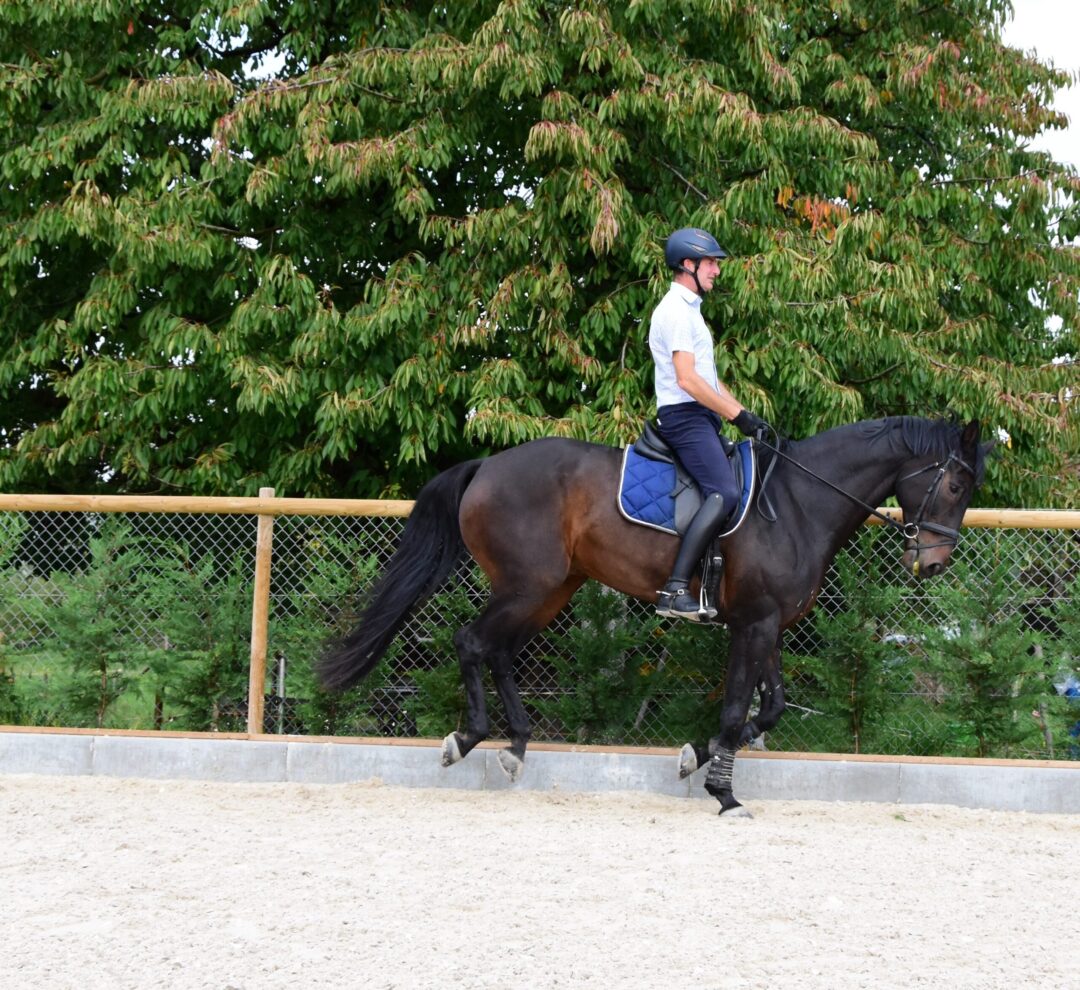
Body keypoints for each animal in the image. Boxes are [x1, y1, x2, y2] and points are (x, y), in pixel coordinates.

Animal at [315, 414, 989, 811]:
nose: (933, 564)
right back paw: (468, 738)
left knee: (498, 650)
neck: (799, 502)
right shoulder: (754, 625)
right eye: (956, 486)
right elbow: (739, 705)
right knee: (472, 642)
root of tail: (488, 466)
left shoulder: (766, 623)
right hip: (528, 585)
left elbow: (768, 706)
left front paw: (697, 756)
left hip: (551, 589)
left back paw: (517, 745)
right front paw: (723, 792)